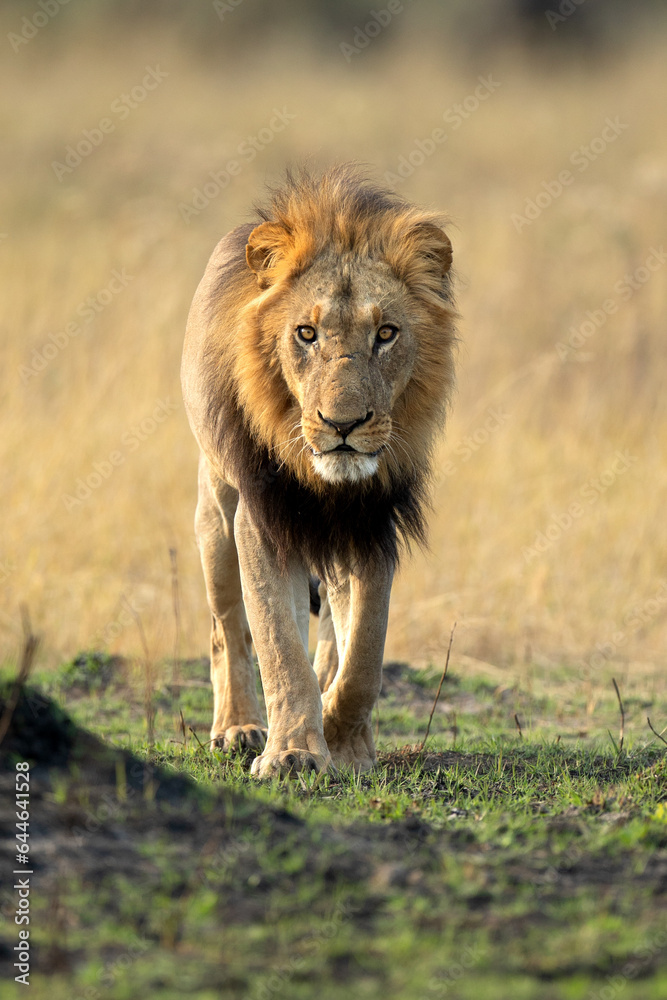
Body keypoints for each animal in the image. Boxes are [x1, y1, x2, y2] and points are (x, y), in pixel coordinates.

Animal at [181, 165, 457, 778]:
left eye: (386, 333)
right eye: (305, 334)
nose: (343, 423)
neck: (327, 483)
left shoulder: (370, 522)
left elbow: (365, 654)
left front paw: (342, 736)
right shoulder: (262, 518)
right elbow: (278, 644)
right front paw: (293, 753)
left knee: (332, 626)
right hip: (215, 510)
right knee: (225, 626)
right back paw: (238, 727)